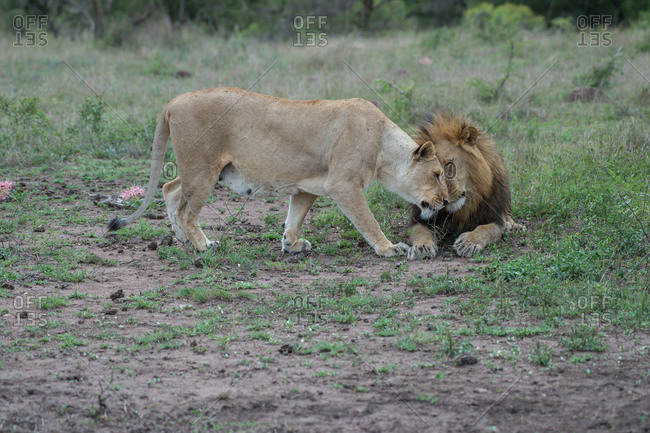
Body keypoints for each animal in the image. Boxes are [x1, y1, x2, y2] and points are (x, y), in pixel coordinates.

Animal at [107, 87, 451, 257]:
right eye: (437, 174)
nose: (447, 201)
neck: (383, 146)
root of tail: (173, 101)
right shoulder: (343, 184)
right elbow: (368, 221)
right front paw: (388, 248)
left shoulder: (307, 187)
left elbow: (293, 220)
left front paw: (291, 246)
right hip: (203, 168)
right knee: (186, 210)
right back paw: (203, 246)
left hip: (205, 170)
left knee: (170, 189)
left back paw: (182, 239)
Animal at [407, 112, 525, 260]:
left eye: (449, 165)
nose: (444, 198)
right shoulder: (418, 218)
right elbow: (419, 232)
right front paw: (422, 246)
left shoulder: (495, 219)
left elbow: (484, 229)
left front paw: (468, 243)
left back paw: (514, 226)